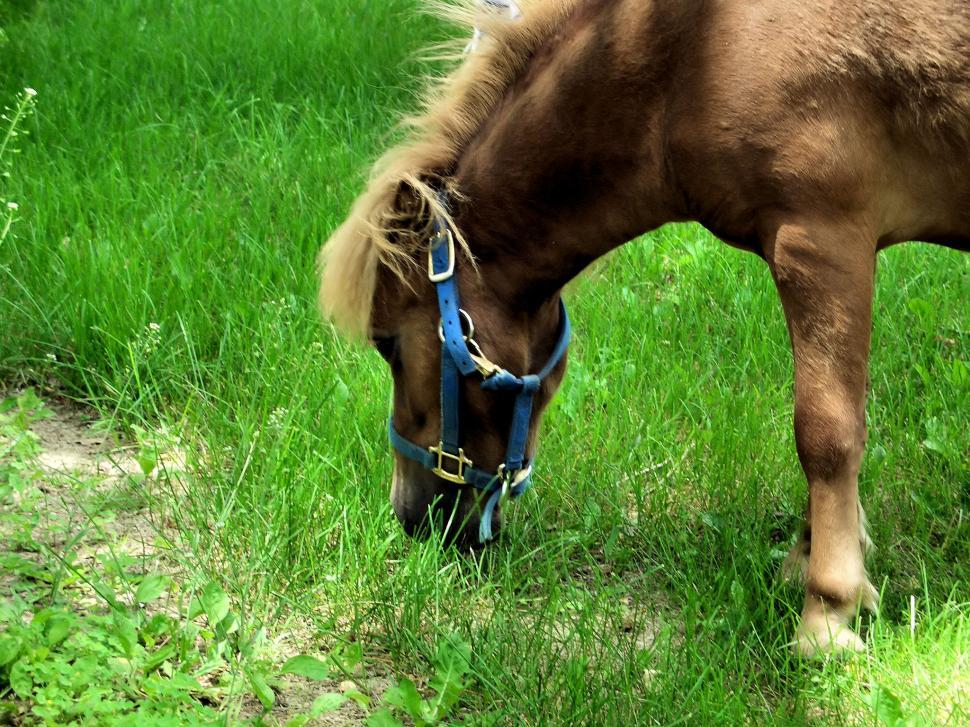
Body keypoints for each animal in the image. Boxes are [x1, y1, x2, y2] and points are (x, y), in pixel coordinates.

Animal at [318, 0, 968, 656]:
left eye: (387, 344)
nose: (408, 516)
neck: (686, 55)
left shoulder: (819, 241)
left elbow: (826, 434)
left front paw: (827, 615)